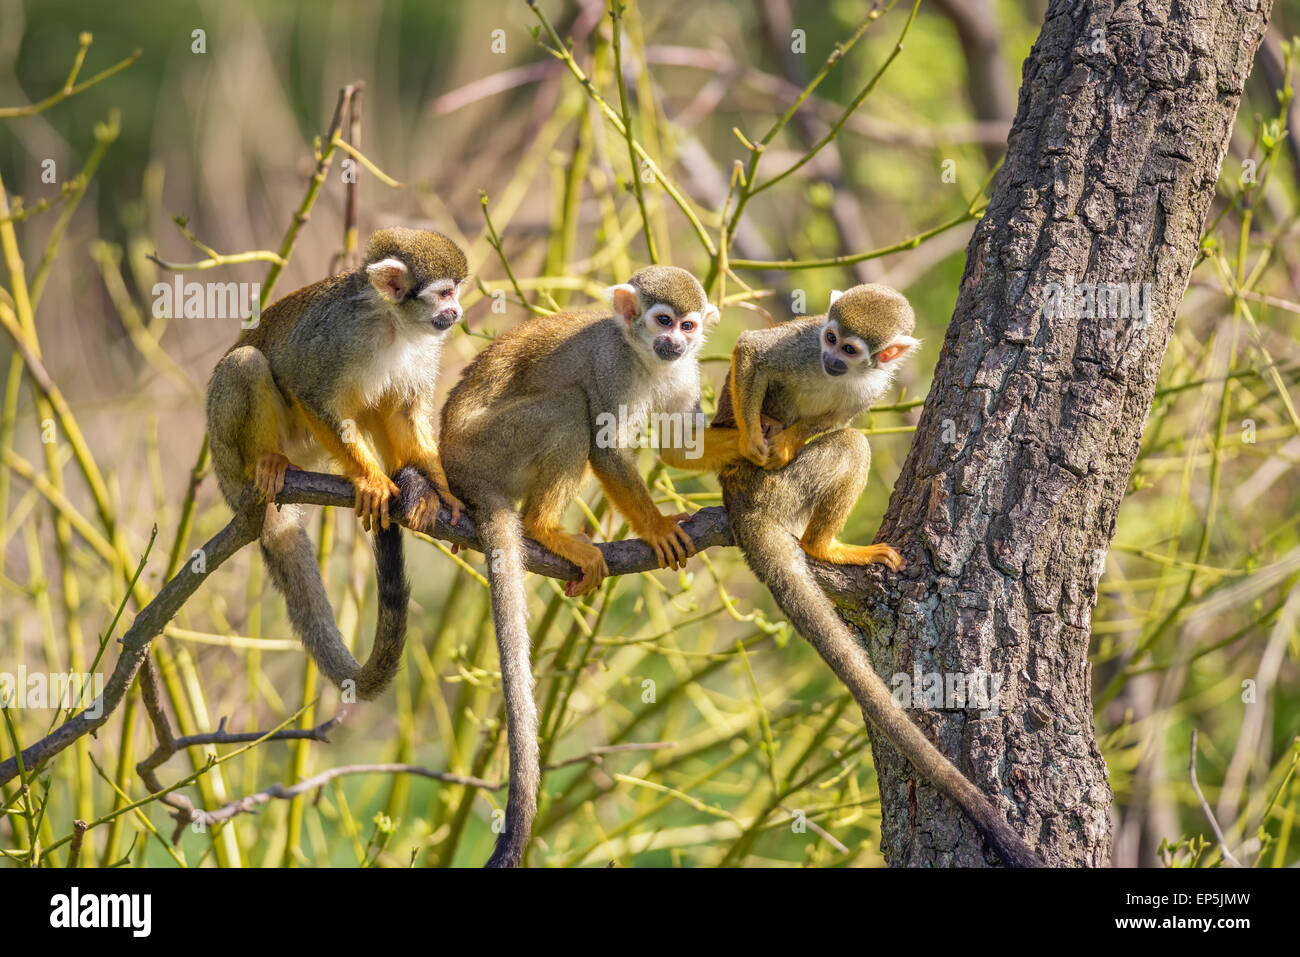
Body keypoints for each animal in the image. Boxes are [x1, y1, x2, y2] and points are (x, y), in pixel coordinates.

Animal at [210, 227, 475, 696]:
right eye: (445, 292)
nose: (457, 311)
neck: (392, 324)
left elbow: (403, 411)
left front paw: (443, 492)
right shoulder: (338, 335)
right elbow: (308, 388)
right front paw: (370, 481)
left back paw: (416, 486)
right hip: (227, 446)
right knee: (247, 363)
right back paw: (268, 463)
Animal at [441, 263, 717, 868]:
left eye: (687, 325)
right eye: (662, 320)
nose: (675, 342)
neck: (644, 358)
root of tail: (455, 467)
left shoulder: (686, 373)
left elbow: (682, 447)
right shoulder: (610, 367)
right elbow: (605, 445)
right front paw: (655, 528)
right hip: (489, 448)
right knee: (571, 408)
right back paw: (543, 527)